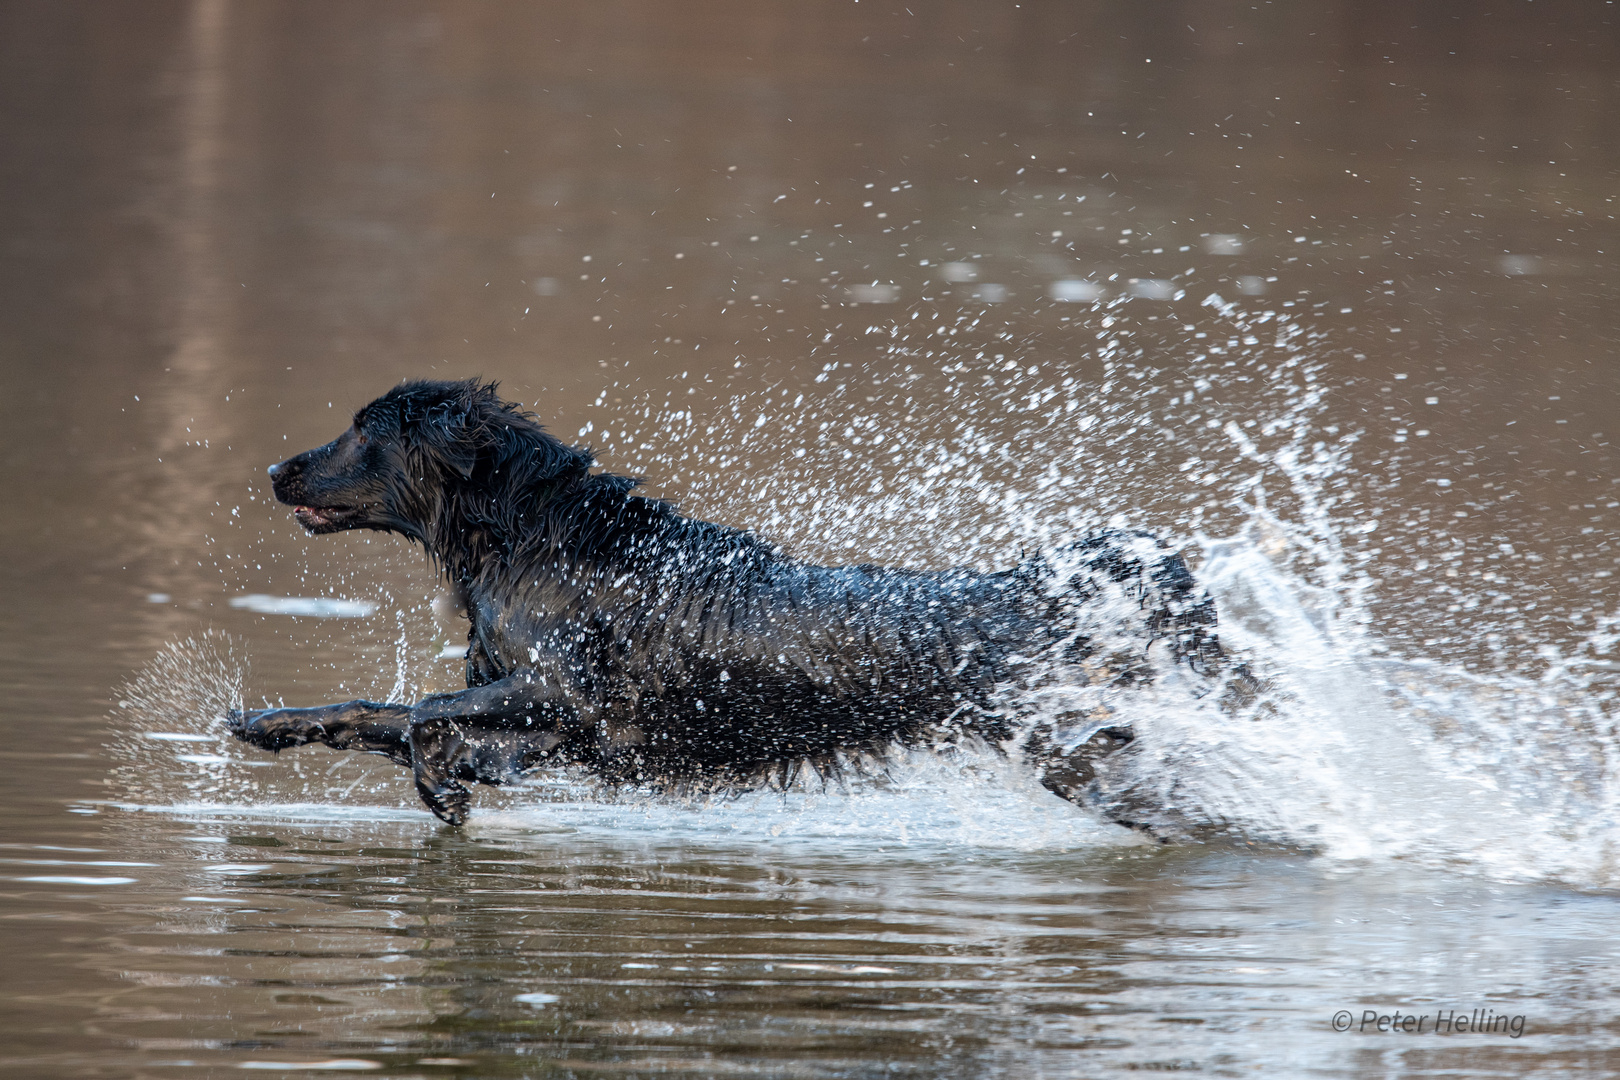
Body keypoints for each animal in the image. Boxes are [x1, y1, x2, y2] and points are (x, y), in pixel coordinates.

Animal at [231, 382, 1224, 829]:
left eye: (363, 430)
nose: (273, 468)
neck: (534, 534)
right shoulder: (556, 733)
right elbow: (380, 713)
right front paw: (268, 726)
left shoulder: (567, 696)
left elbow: (427, 713)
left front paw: (440, 785)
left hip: (1070, 749)